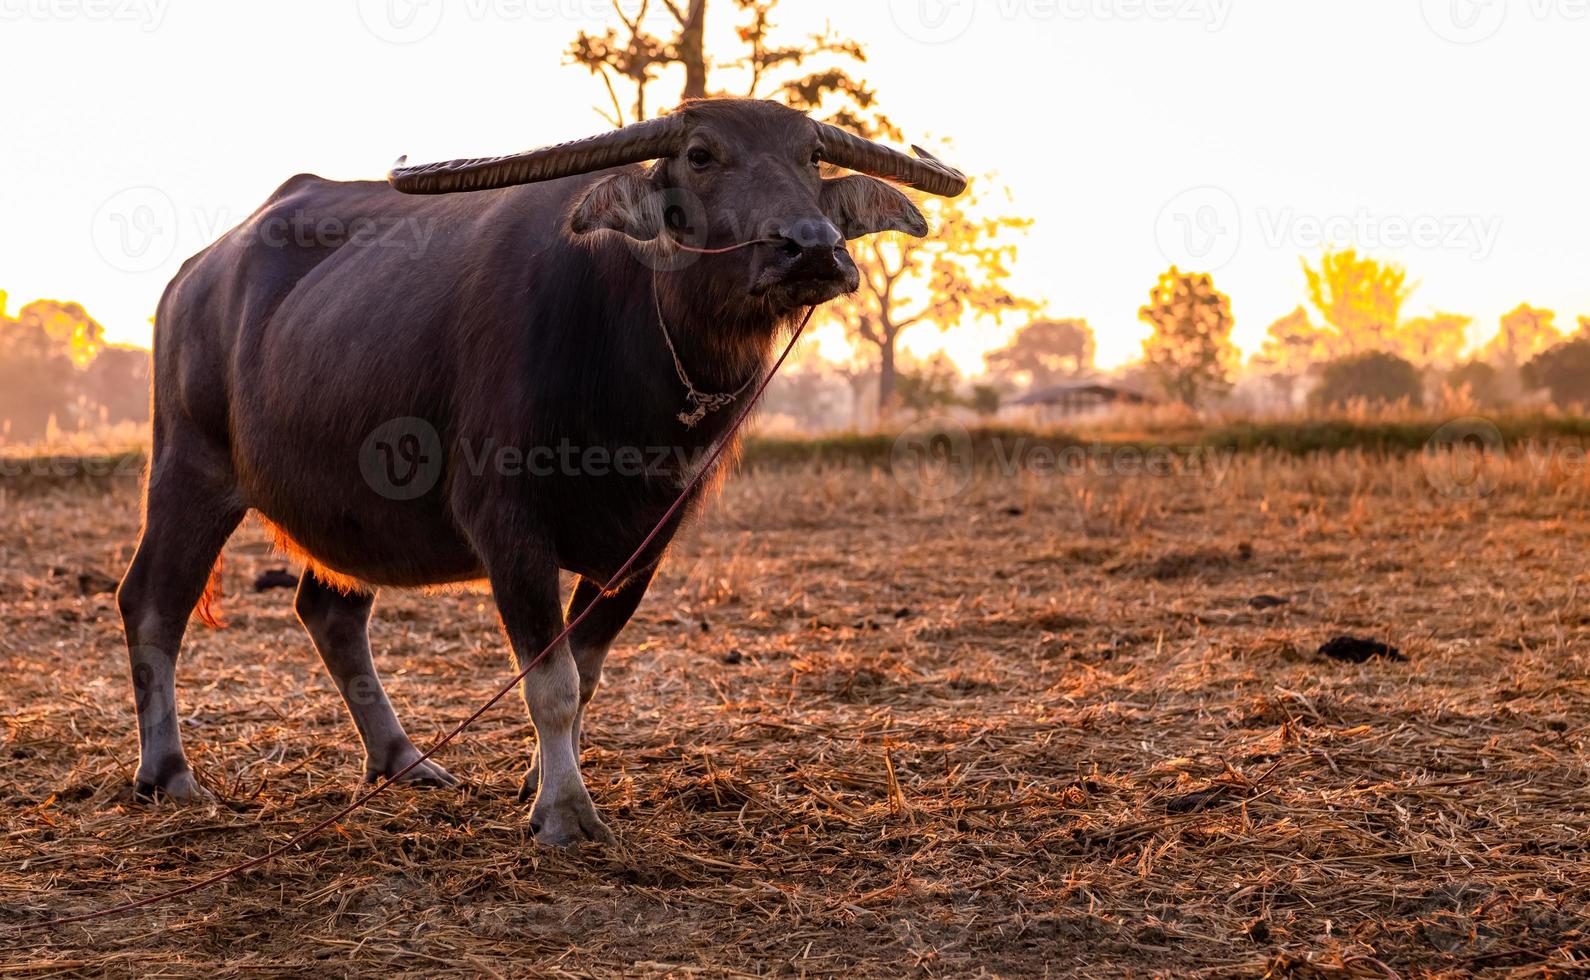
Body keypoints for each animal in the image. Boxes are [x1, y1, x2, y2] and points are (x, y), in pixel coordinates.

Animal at [117, 101, 960, 852]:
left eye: (811, 157)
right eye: (700, 155)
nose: (812, 249)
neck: (630, 353)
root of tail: (193, 277)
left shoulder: (644, 546)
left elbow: (583, 675)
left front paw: (540, 780)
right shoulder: (509, 529)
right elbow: (549, 684)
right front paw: (564, 813)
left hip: (350, 508)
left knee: (330, 613)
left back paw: (404, 761)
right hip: (189, 464)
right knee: (153, 602)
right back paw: (169, 772)